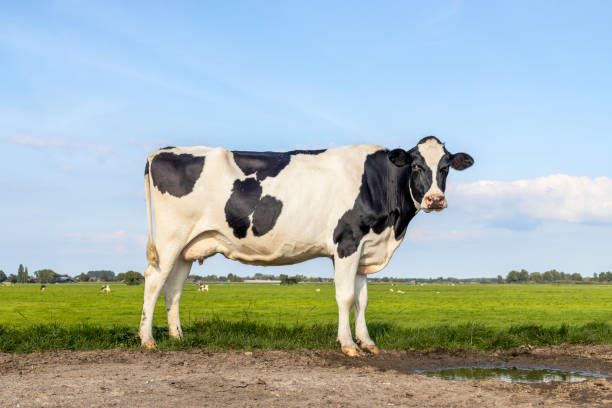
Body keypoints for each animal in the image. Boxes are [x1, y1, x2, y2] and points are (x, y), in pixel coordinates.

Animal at [137, 136, 474, 354]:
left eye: (445, 167)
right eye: (416, 166)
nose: (435, 199)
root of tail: (163, 151)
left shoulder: (364, 249)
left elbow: (363, 300)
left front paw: (368, 342)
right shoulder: (347, 241)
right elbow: (346, 298)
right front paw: (348, 345)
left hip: (188, 246)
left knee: (173, 288)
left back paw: (177, 336)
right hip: (170, 238)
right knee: (154, 280)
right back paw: (147, 339)